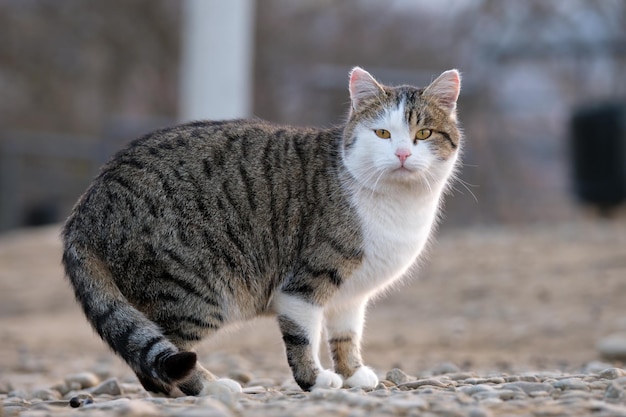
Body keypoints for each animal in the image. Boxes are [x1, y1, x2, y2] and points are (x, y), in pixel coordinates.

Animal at [62, 66, 458, 394]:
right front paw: (315, 380)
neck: (400, 205)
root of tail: (86, 206)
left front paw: (352, 373)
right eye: (382, 133)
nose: (403, 154)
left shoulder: (351, 295)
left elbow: (346, 335)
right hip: (194, 289)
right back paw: (209, 387)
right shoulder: (304, 284)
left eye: (424, 133)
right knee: (162, 353)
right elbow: (302, 337)